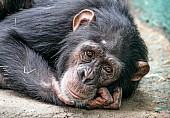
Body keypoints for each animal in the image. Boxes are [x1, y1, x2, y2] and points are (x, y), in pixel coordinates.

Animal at [0, 0, 149, 109]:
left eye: (107, 69)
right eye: (89, 53)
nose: (87, 76)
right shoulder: (61, 16)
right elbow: (7, 35)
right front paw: (54, 88)